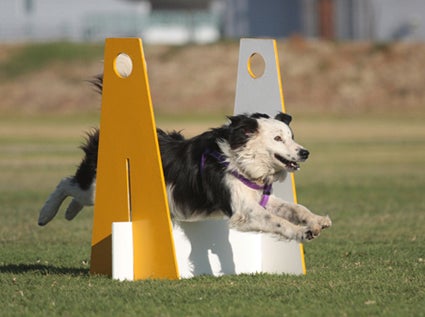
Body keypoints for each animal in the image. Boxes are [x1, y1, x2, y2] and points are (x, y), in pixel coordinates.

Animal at [39, 108, 332, 239]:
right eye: (278, 138)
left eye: (292, 137)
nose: (305, 152)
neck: (239, 159)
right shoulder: (242, 210)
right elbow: (277, 221)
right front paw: (302, 232)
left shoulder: (254, 196)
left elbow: (294, 207)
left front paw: (317, 220)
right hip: (98, 187)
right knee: (66, 182)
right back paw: (45, 214)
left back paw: (69, 212)